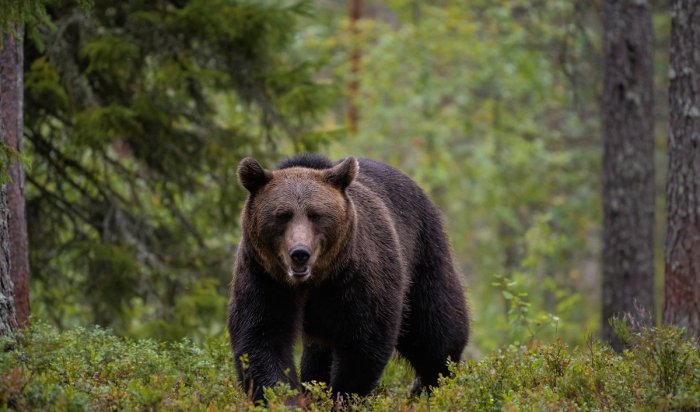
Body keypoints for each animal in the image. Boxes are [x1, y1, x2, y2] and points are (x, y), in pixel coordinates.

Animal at [230, 153, 470, 400]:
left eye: (316, 215)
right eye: (282, 215)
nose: (300, 253)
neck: (314, 281)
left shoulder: (357, 278)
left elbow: (364, 343)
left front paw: (344, 395)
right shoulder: (265, 278)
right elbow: (262, 338)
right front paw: (285, 397)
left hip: (423, 254)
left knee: (435, 330)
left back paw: (431, 386)